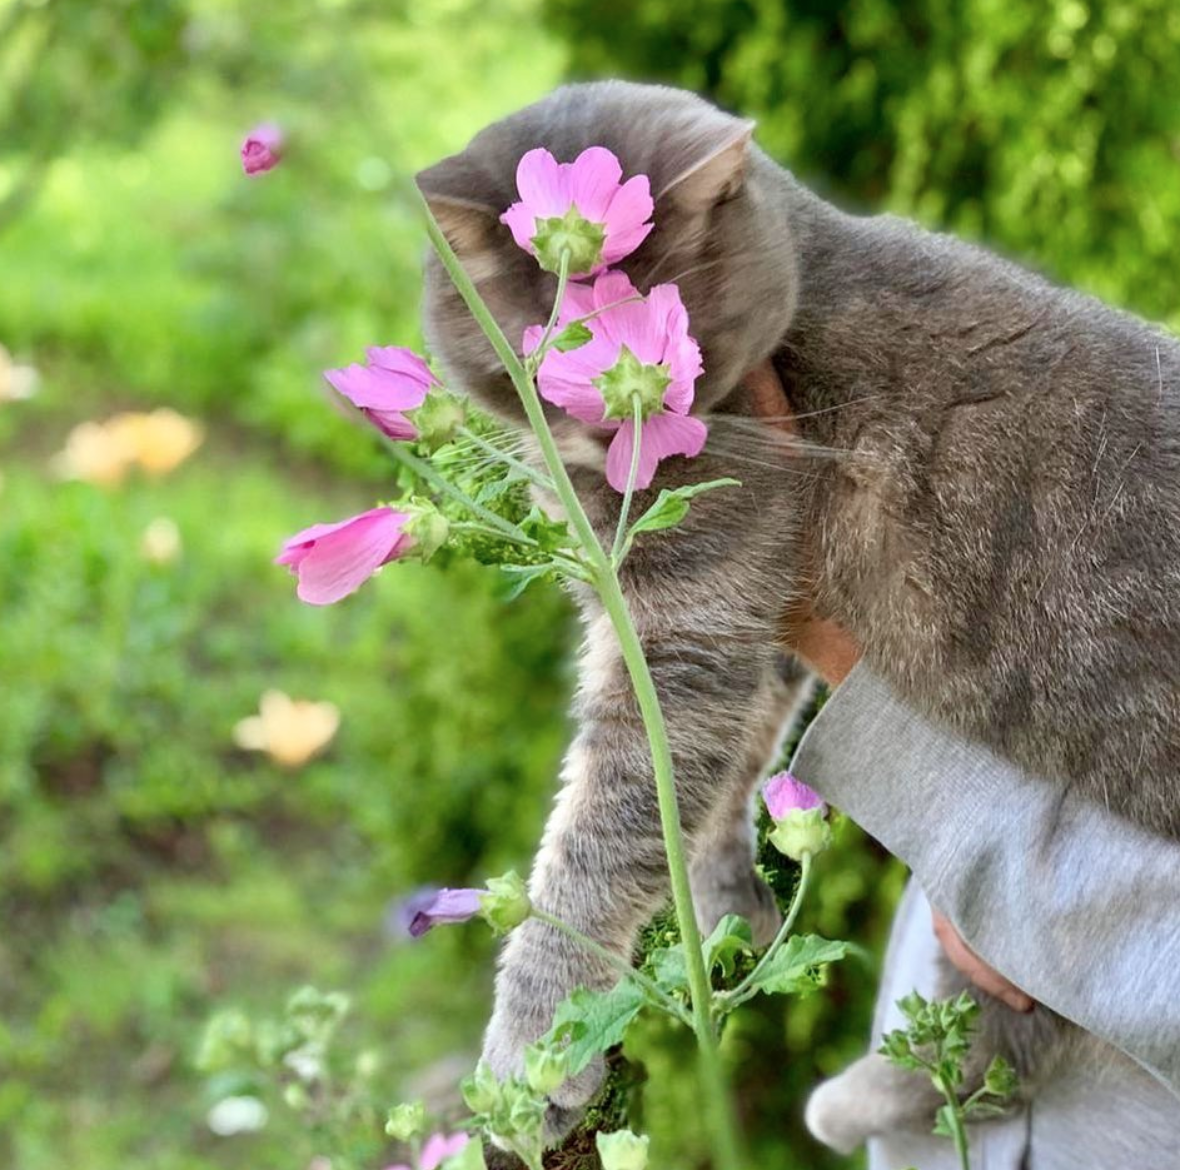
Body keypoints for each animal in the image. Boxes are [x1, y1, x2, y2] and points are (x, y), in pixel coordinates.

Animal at [415, 80, 1180, 1151]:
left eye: (657, 340)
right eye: (547, 346)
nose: (618, 428)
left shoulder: (691, 612)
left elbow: (601, 833)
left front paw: (532, 1057)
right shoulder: (755, 607)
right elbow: (725, 765)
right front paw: (721, 889)